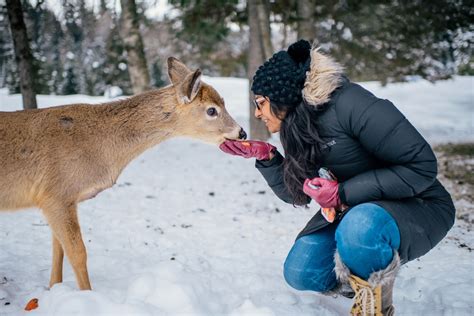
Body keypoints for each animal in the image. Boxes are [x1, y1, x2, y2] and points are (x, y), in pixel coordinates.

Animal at [0, 57, 248, 292]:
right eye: (212, 110)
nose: (242, 132)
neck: (99, 147)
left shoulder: (59, 200)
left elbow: (57, 250)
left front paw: (53, 289)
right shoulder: (56, 192)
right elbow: (78, 253)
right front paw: (88, 296)